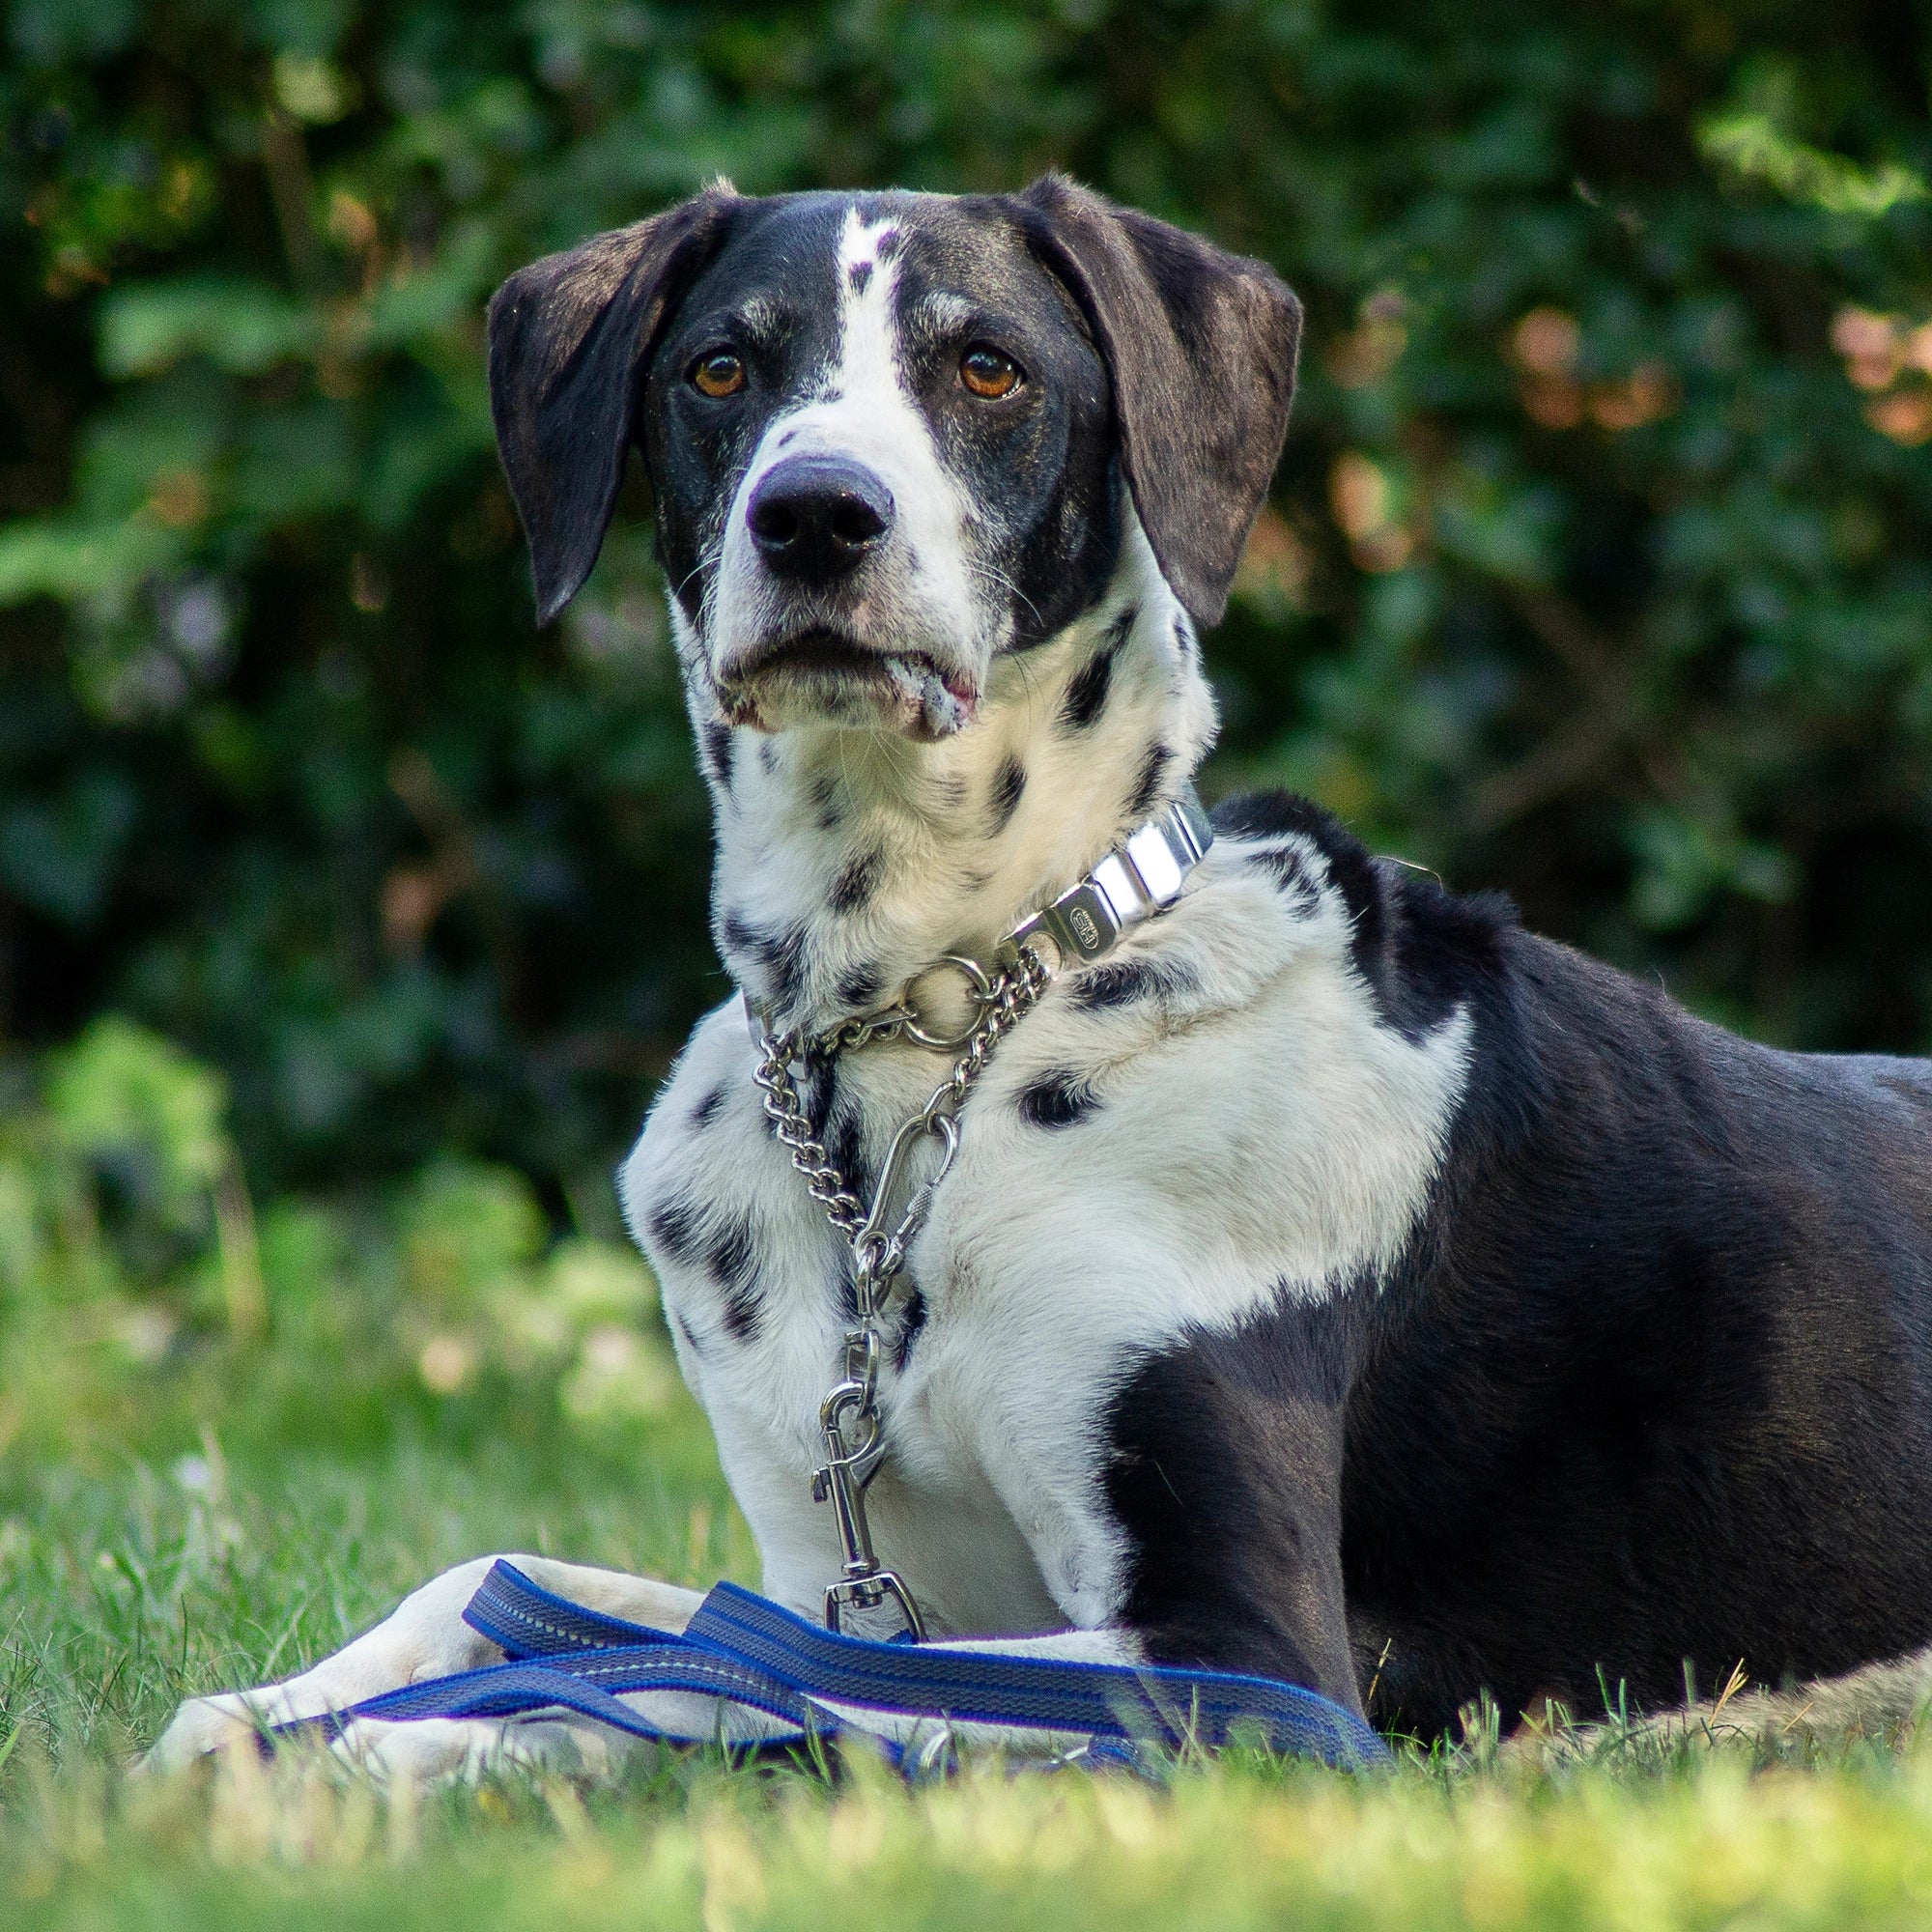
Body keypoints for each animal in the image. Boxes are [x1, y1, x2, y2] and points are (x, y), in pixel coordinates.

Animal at [155, 182, 1932, 1777]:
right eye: (720, 368)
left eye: (988, 366)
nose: (816, 513)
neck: (935, 1027)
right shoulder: (855, 1575)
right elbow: (561, 1596)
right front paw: (269, 1711)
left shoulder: (1248, 1658)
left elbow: (735, 1684)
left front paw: (398, 1750)